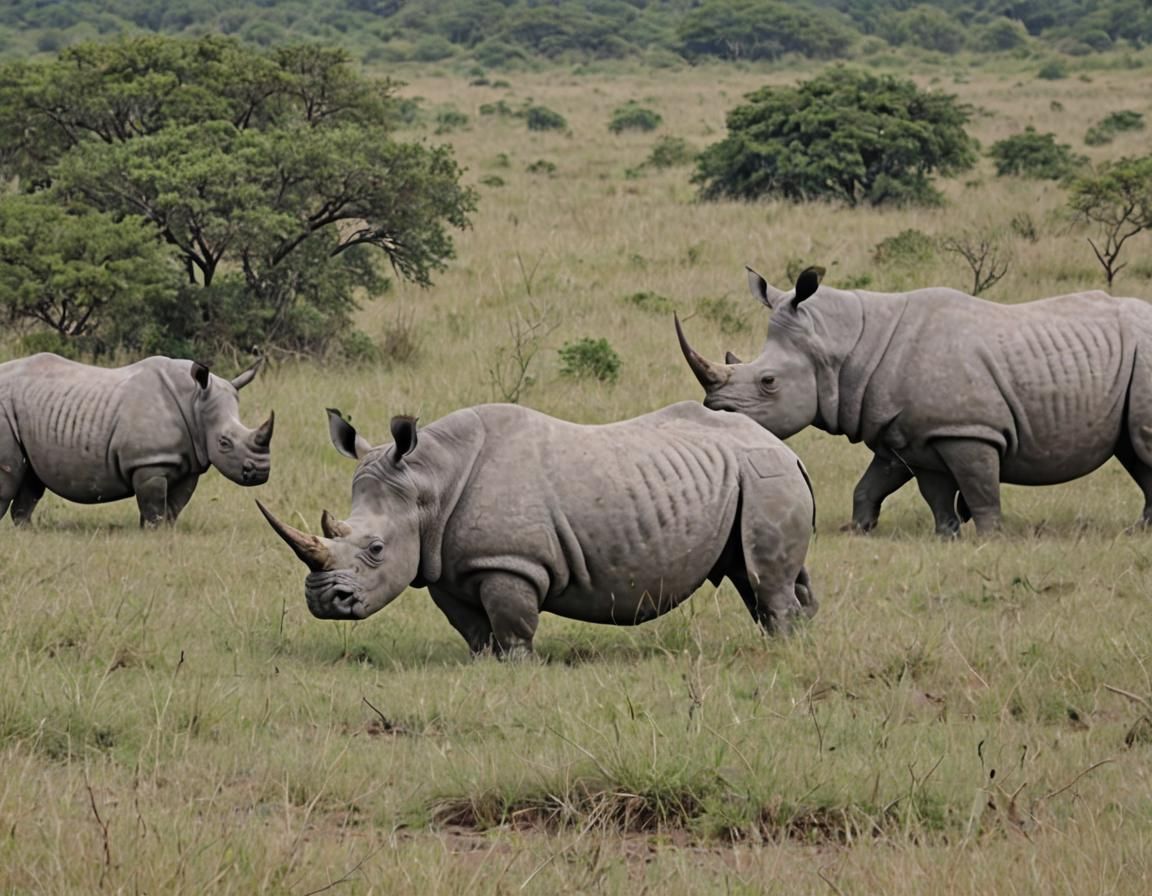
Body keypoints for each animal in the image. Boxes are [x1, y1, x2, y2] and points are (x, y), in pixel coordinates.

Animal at [0, 353, 273, 527]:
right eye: (224, 443)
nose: (260, 473)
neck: (194, 401)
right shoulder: (149, 461)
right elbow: (154, 506)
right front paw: (153, 532)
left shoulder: (189, 462)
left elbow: (173, 507)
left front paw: (165, 533)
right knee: (10, 475)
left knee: (31, 479)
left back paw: (27, 530)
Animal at [258, 401, 816, 658]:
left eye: (375, 548)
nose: (324, 603)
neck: (427, 484)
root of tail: (785, 447)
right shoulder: (445, 566)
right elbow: (473, 628)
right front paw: (484, 664)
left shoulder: (510, 563)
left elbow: (513, 624)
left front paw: (518, 667)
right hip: (759, 478)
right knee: (759, 575)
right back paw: (799, 642)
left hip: (766, 474)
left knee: (764, 579)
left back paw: (783, 650)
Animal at [676, 266, 1152, 535]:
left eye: (768, 382)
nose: (714, 414)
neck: (843, 347)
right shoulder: (908, 435)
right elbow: (894, 486)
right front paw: (877, 531)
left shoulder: (965, 430)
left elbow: (979, 487)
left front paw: (990, 537)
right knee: (1135, 453)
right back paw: (1140, 531)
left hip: (1144, 356)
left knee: (1142, 449)